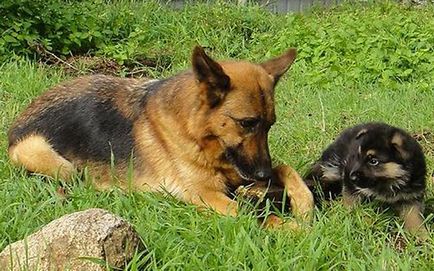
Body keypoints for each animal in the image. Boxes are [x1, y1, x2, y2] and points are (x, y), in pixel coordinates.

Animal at [6, 46, 312, 227]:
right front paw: (294, 227)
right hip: (51, 159)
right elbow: (258, 218)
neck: (197, 134)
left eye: (269, 125)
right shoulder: (207, 195)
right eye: (247, 123)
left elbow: (288, 168)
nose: (262, 176)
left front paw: (304, 206)